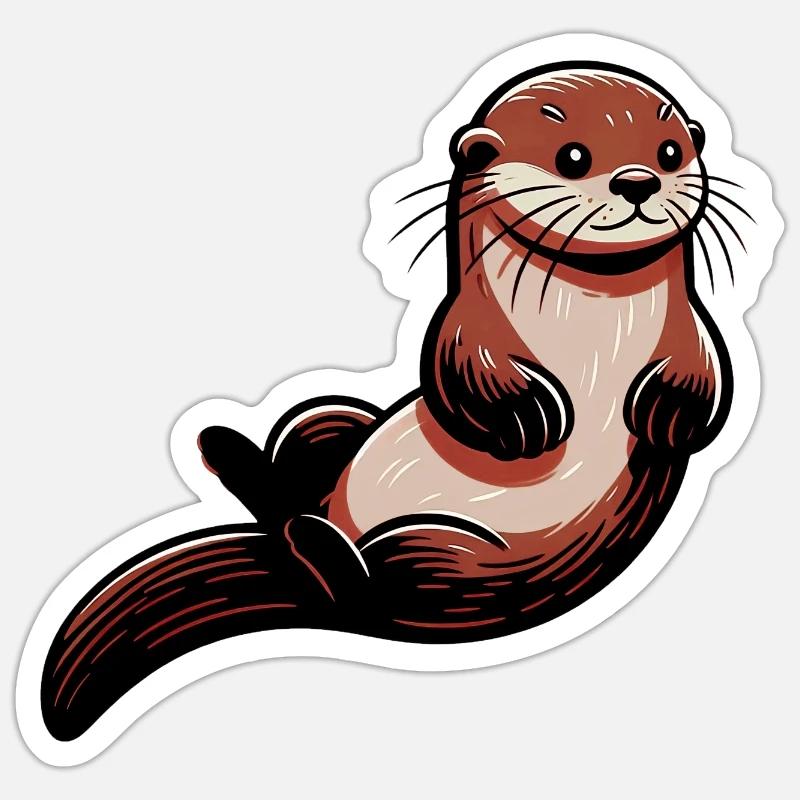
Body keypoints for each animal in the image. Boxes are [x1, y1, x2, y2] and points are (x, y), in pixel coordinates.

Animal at [39, 61, 745, 742]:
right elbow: (463, 370)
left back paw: (298, 520)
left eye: (669, 151)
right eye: (573, 155)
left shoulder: (688, 326)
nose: (639, 182)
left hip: (463, 564)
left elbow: (702, 371)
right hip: (347, 450)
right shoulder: (467, 323)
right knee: (325, 528)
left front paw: (671, 417)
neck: (592, 325)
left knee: (362, 583)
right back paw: (243, 462)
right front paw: (529, 417)